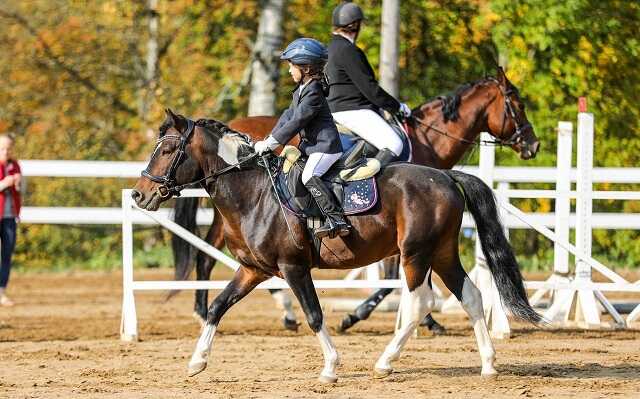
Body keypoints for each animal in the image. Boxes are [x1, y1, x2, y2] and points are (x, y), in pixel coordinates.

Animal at [132, 111, 544, 382]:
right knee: (470, 296)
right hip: (441, 254)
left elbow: (315, 314)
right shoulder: (254, 269)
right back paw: (488, 364)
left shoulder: (293, 267)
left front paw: (330, 367)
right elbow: (219, 306)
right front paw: (197, 361)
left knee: (418, 304)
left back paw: (385, 362)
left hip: (416, 255)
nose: (139, 194)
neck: (255, 192)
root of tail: (443, 176)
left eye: (167, 150)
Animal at [171, 67, 540, 332]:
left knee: (212, 255)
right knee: (207, 255)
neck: (427, 139)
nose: (533, 145)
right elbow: (394, 282)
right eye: (518, 105)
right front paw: (361, 317)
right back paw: (221, 311)